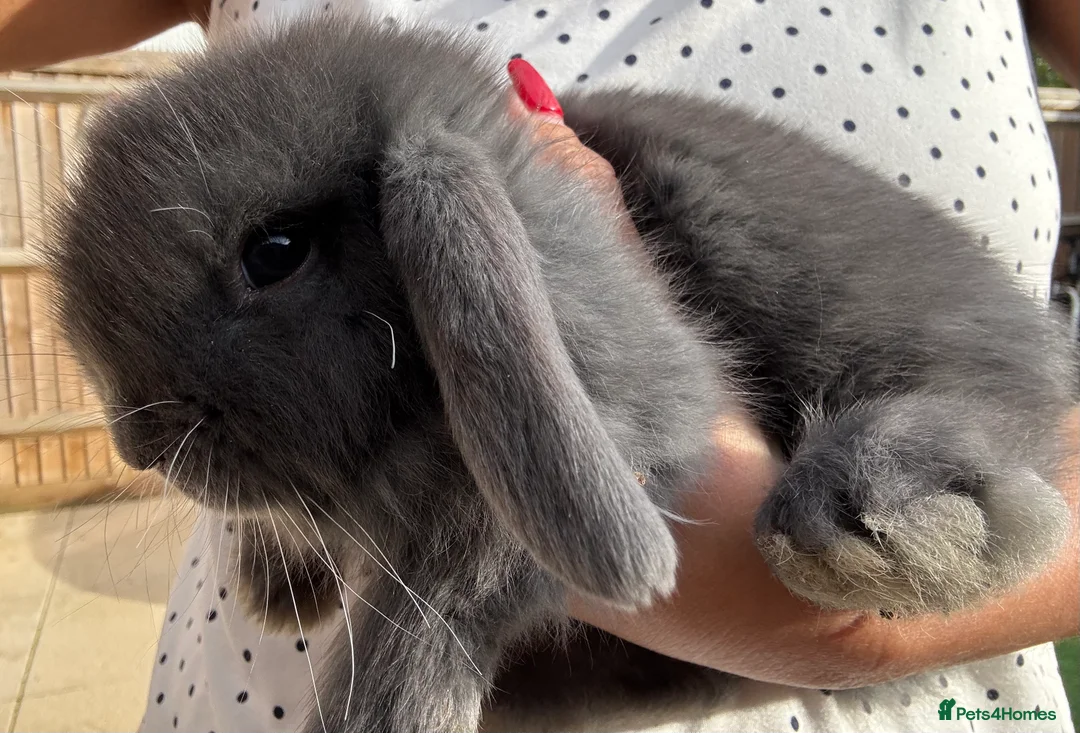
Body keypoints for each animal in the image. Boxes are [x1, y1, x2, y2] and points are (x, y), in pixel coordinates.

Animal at [46, 13, 1077, 733]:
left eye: (275, 251)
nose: (137, 443)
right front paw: (282, 586)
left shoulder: (629, 422)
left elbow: (458, 575)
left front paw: (389, 703)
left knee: (999, 433)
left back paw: (872, 511)